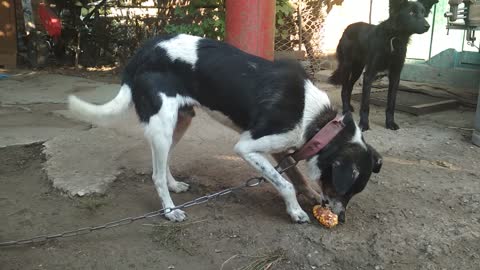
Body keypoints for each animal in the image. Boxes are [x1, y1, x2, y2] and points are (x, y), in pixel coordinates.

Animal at [68, 34, 382, 224]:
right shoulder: (246, 146)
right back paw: (170, 210)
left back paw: (174, 185)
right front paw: (295, 211)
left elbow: (296, 175)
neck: (318, 122)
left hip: (181, 121)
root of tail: (144, 50)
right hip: (162, 123)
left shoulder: (281, 146)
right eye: (347, 189)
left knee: (164, 161)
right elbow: (285, 183)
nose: (341, 219)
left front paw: (312, 196)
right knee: (155, 174)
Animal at [330, 0, 438, 131]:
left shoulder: (395, 75)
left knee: (349, 86)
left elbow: (391, 103)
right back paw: (346, 110)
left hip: (358, 69)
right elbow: (365, 104)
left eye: (423, 13)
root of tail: (347, 28)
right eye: (411, 13)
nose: (428, 26)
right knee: (344, 88)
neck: (394, 38)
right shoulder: (369, 74)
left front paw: (390, 123)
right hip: (347, 66)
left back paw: (349, 106)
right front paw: (364, 124)